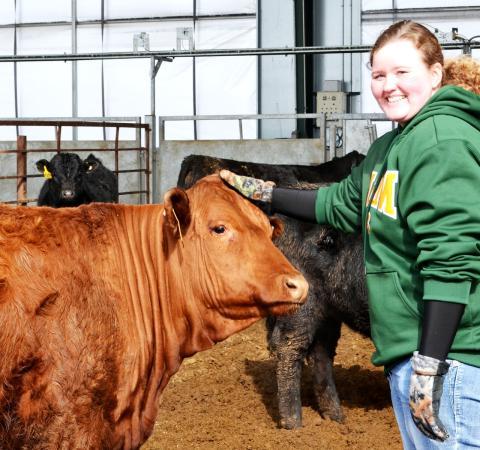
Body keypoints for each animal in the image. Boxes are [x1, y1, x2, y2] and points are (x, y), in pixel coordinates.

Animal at [178, 154, 370, 428]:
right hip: (303, 307)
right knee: (291, 348)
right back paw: (294, 425)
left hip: (327, 311)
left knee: (320, 353)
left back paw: (334, 419)